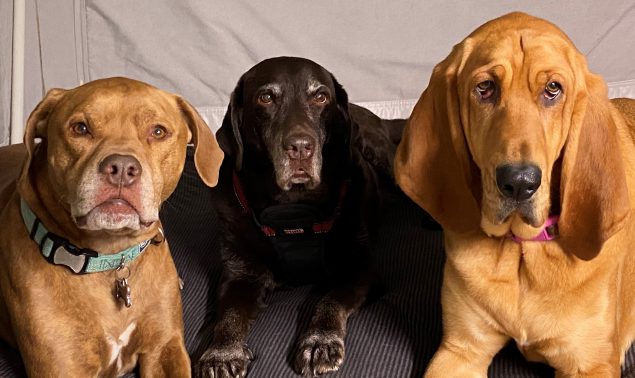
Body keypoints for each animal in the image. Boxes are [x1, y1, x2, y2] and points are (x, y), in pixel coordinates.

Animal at [0, 77, 224, 378]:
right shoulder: (60, 365)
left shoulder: (165, 347)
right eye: (80, 128)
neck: (110, 259)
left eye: (158, 131)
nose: (121, 166)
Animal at [199, 56, 404, 378]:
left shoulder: (359, 269)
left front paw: (320, 340)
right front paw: (221, 353)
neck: (292, 211)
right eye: (266, 97)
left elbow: (329, 299)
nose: (300, 147)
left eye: (320, 97)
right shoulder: (239, 273)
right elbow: (229, 314)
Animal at [396, 12, 635, 378]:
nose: (519, 183)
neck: (522, 250)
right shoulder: (460, 350)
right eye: (485, 88)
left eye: (553, 89)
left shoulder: (589, 365)